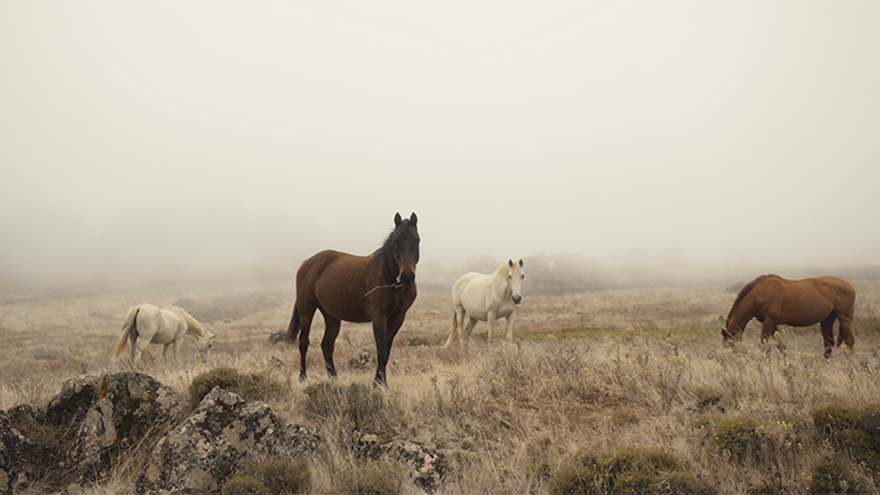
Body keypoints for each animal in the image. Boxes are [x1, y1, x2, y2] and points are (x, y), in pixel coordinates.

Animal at [284, 211, 418, 386]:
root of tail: (307, 263)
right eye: (396, 242)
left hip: (331, 316)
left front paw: (381, 383)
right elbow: (381, 352)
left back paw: (333, 378)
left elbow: (387, 352)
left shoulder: (397, 318)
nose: (407, 277)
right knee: (303, 342)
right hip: (307, 310)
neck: (388, 277)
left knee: (327, 345)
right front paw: (378, 385)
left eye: (417, 240)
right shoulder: (379, 317)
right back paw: (303, 377)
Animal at [720, 276, 852, 356]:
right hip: (827, 320)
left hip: (844, 319)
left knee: (849, 341)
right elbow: (781, 346)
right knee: (828, 343)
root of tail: (849, 284)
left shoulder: (768, 321)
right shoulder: (772, 324)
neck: (760, 294)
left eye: (729, 344)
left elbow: (763, 345)